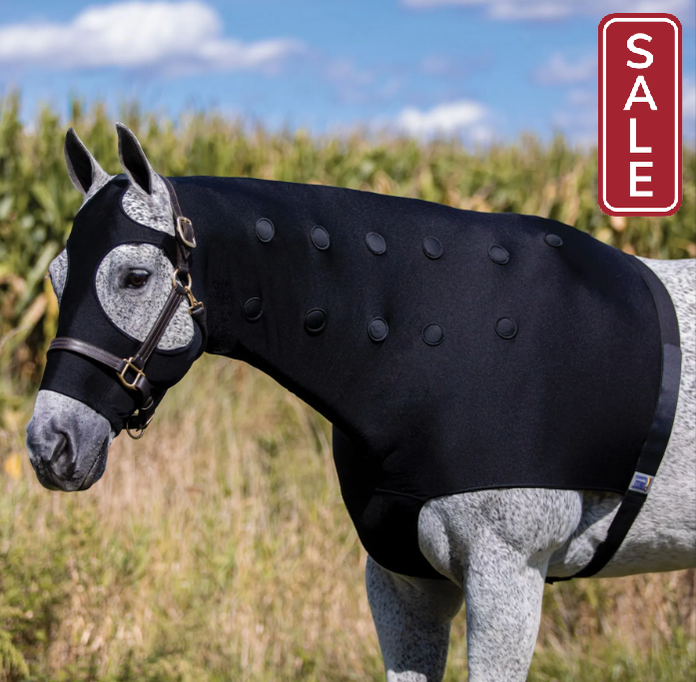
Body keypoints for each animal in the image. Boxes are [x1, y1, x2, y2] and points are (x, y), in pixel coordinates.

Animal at [26, 124, 695, 682]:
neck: (425, 353)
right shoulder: (400, 581)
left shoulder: (509, 578)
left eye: (135, 277)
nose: (49, 445)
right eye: (55, 278)